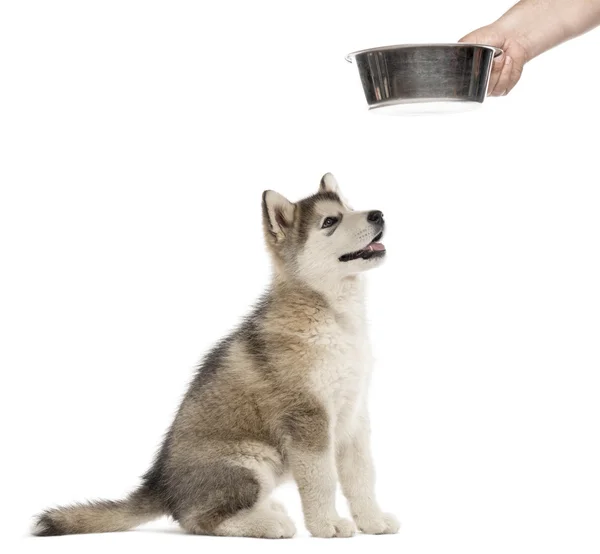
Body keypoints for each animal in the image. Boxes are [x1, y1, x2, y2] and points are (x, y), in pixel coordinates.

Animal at [31, 171, 398, 536]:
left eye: (349, 207)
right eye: (330, 222)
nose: (377, 214)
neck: (336, 315)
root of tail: (160, 486)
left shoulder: (354, 415)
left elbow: (362, 475)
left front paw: (372, 520)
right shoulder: (309, 418)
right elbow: (322, 479)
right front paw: (327, 525)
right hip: (252, 460)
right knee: (200, 520)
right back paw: (267, 522)